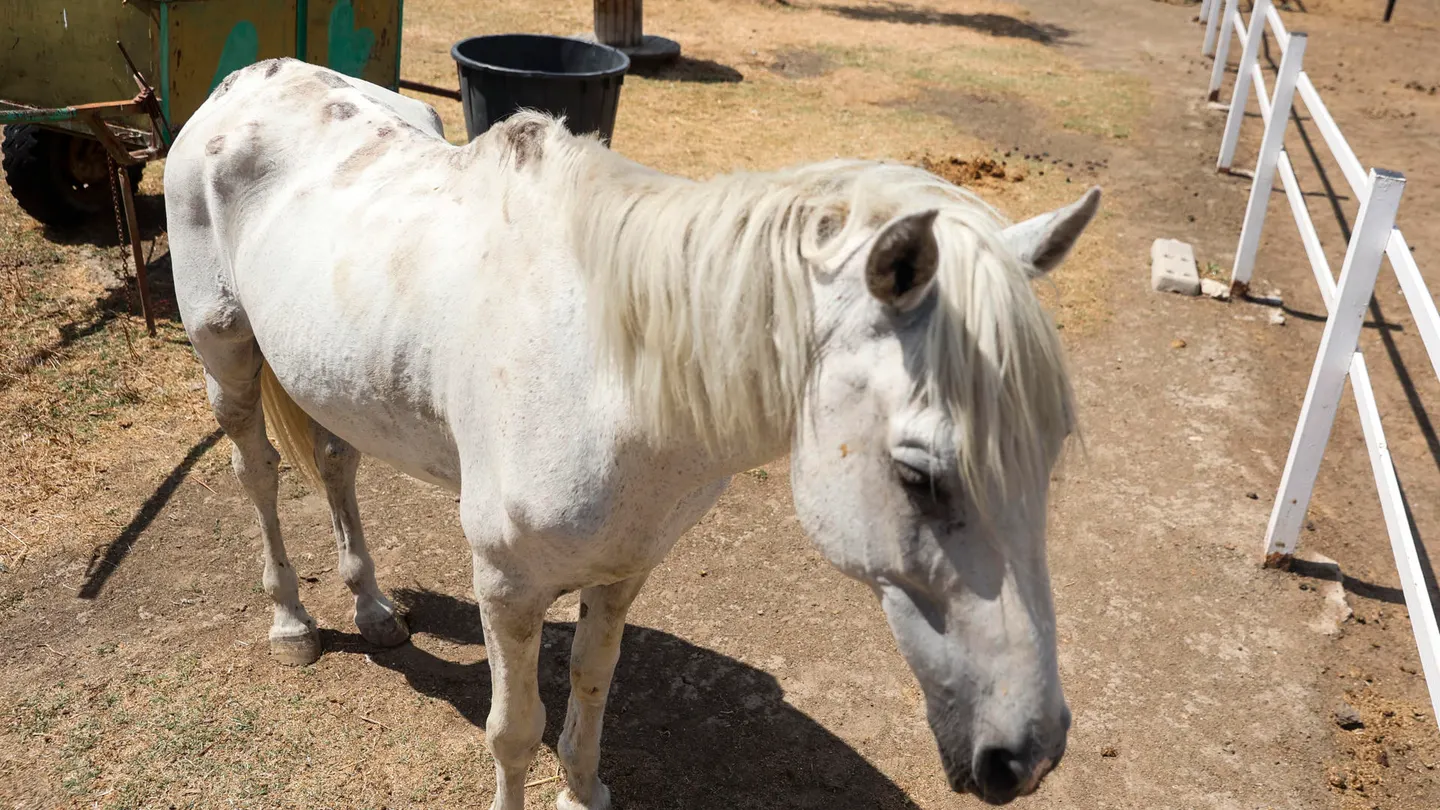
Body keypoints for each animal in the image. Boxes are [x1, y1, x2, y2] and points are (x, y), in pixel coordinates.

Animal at [165, 57, 1099, 809]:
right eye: (917, 474)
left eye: (1052, 452)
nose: (1030, 754)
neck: (606, 371)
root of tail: (245, 82)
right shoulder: (505, 586)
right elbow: (515, 727)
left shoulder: (624, 568)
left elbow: (592, 682)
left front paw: (584, 792)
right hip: (227, 356)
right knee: (258, 475)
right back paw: (292, 622)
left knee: (335, 464)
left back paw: (373, 608)